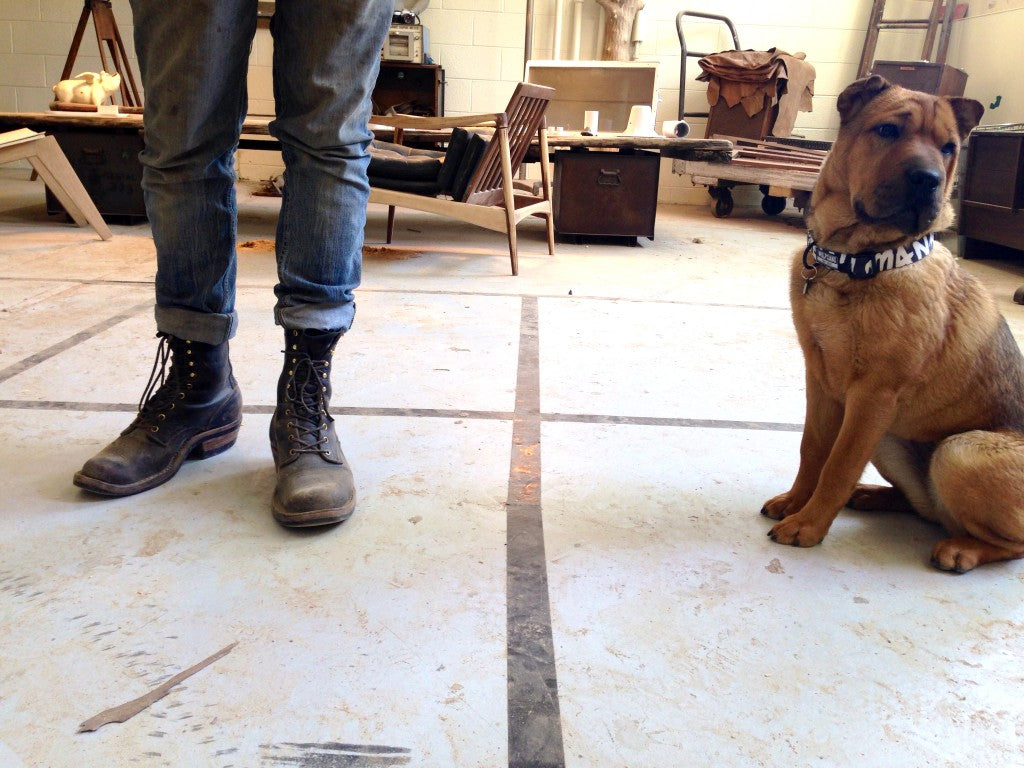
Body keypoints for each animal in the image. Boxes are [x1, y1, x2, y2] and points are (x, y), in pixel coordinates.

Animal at [757, 76, 1024, 573]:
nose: (929, 181)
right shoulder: (821, 382)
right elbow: (813, 450)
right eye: (886, 131)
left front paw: (809, 526)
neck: (858, 263)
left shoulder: (874, 396)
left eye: (948, 148)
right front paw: (795, 503)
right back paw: (875, 496)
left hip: (958, 452)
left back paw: (962, 549)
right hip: (890, 438)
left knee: (1008, 541)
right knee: (926, 507)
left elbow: (838, 464)